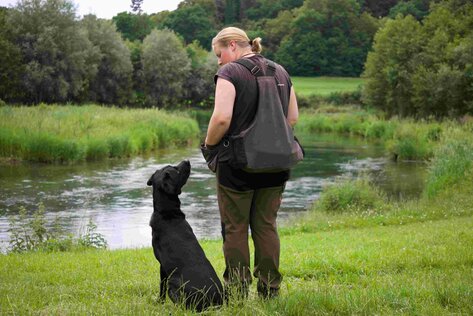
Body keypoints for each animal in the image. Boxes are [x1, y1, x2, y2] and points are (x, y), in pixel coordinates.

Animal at [147, 160, 222, 312]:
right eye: (176, 169)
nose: (187, 161)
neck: (167, 212)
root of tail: (214, 303)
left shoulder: (162, 266)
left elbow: (161, 288)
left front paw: (159, 303)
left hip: (173, 284)